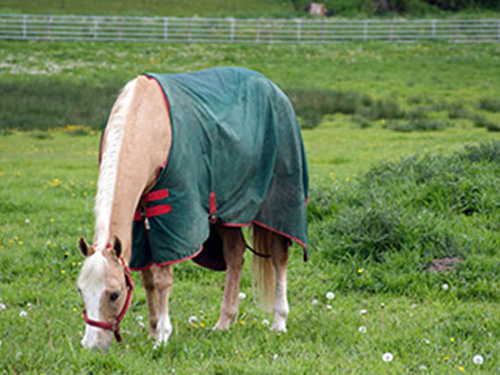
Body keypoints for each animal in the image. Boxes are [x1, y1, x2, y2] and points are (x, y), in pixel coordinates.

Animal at [76, 67, 308, 352]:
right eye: (81, 291)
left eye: (114, 294)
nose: (91, 345)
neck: (150, 124)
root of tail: (274, 89)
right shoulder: (140, 219)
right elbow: (147, 278)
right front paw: (152, 330)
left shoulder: (173, 215)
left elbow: (163, 279)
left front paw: (163, 336)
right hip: (225, 215)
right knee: (235, 254)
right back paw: (224, 322)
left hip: (276, 206)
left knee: (278, 256)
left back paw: (279, 321)